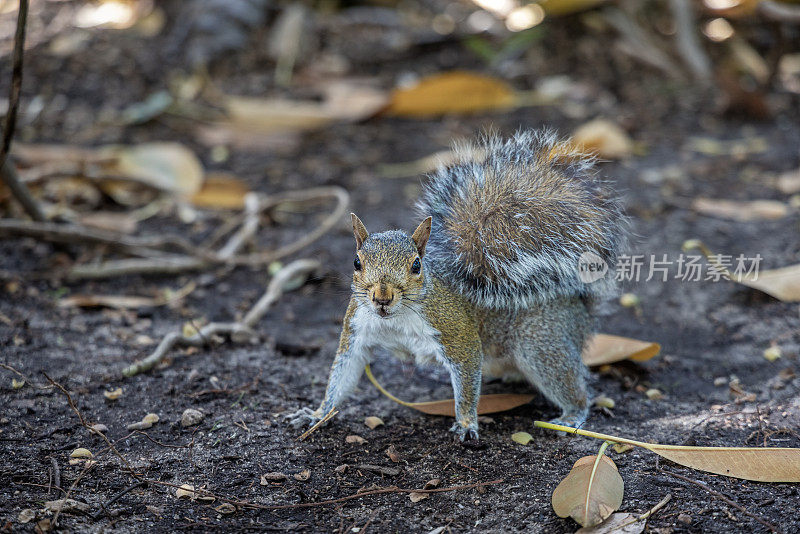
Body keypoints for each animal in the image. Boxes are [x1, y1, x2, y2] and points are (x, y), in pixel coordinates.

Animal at [288, 130, 624, 440]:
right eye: (357, 263)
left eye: (416, 265)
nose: (382, 297)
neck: (396, 318)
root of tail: (580, 307)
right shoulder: (357, 329)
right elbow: (343, 374)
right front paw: (316, 413)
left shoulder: (456, 331)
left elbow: (466, 377)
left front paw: (465, 422)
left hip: (541, 342)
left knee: (569, 383)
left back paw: (572, 414)